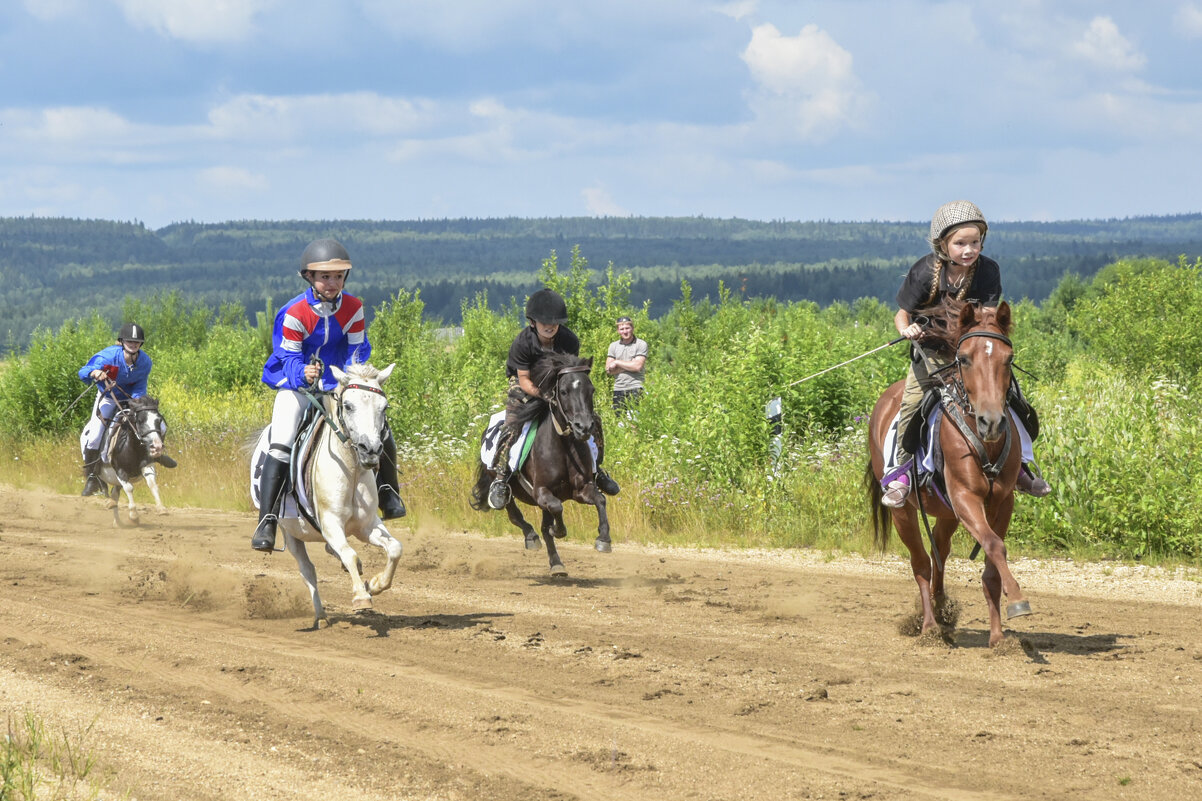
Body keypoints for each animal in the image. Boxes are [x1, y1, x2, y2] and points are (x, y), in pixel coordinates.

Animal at [252, 363, 403, 630]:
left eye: (384, 407)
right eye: (348, 406)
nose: (370, 450)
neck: (352, 470)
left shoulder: (367, 525)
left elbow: (394, 548)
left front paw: (374, 585)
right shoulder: (331, 523)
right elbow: (350, 554)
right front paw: (362, 596)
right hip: (290, 533)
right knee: (308, 571)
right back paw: (320, 616)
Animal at [471, 351, 615, 574]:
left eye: (591, 390)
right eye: (563, 391)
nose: (583, 427)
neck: (564, 447)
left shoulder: (581, 489)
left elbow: (600, 500)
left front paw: (603, 539)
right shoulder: (541, 491)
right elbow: (556, 509)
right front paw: (559, 530)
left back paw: (556, 564)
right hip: (501, 481)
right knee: (514, 514)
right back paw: (532, 537)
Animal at [870, 299, 1028, 644]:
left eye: (1008, 358)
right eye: (964, 359)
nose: (991, 422)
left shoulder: (1002, 502)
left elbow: (993, 561)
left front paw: (998, 637)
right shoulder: (965, 497)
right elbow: (994, 545)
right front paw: (1017, 599)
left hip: (946, 513)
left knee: (938, 553)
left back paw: (942, 609)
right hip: (903, 513)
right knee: (920, 562)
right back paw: (929, 626)